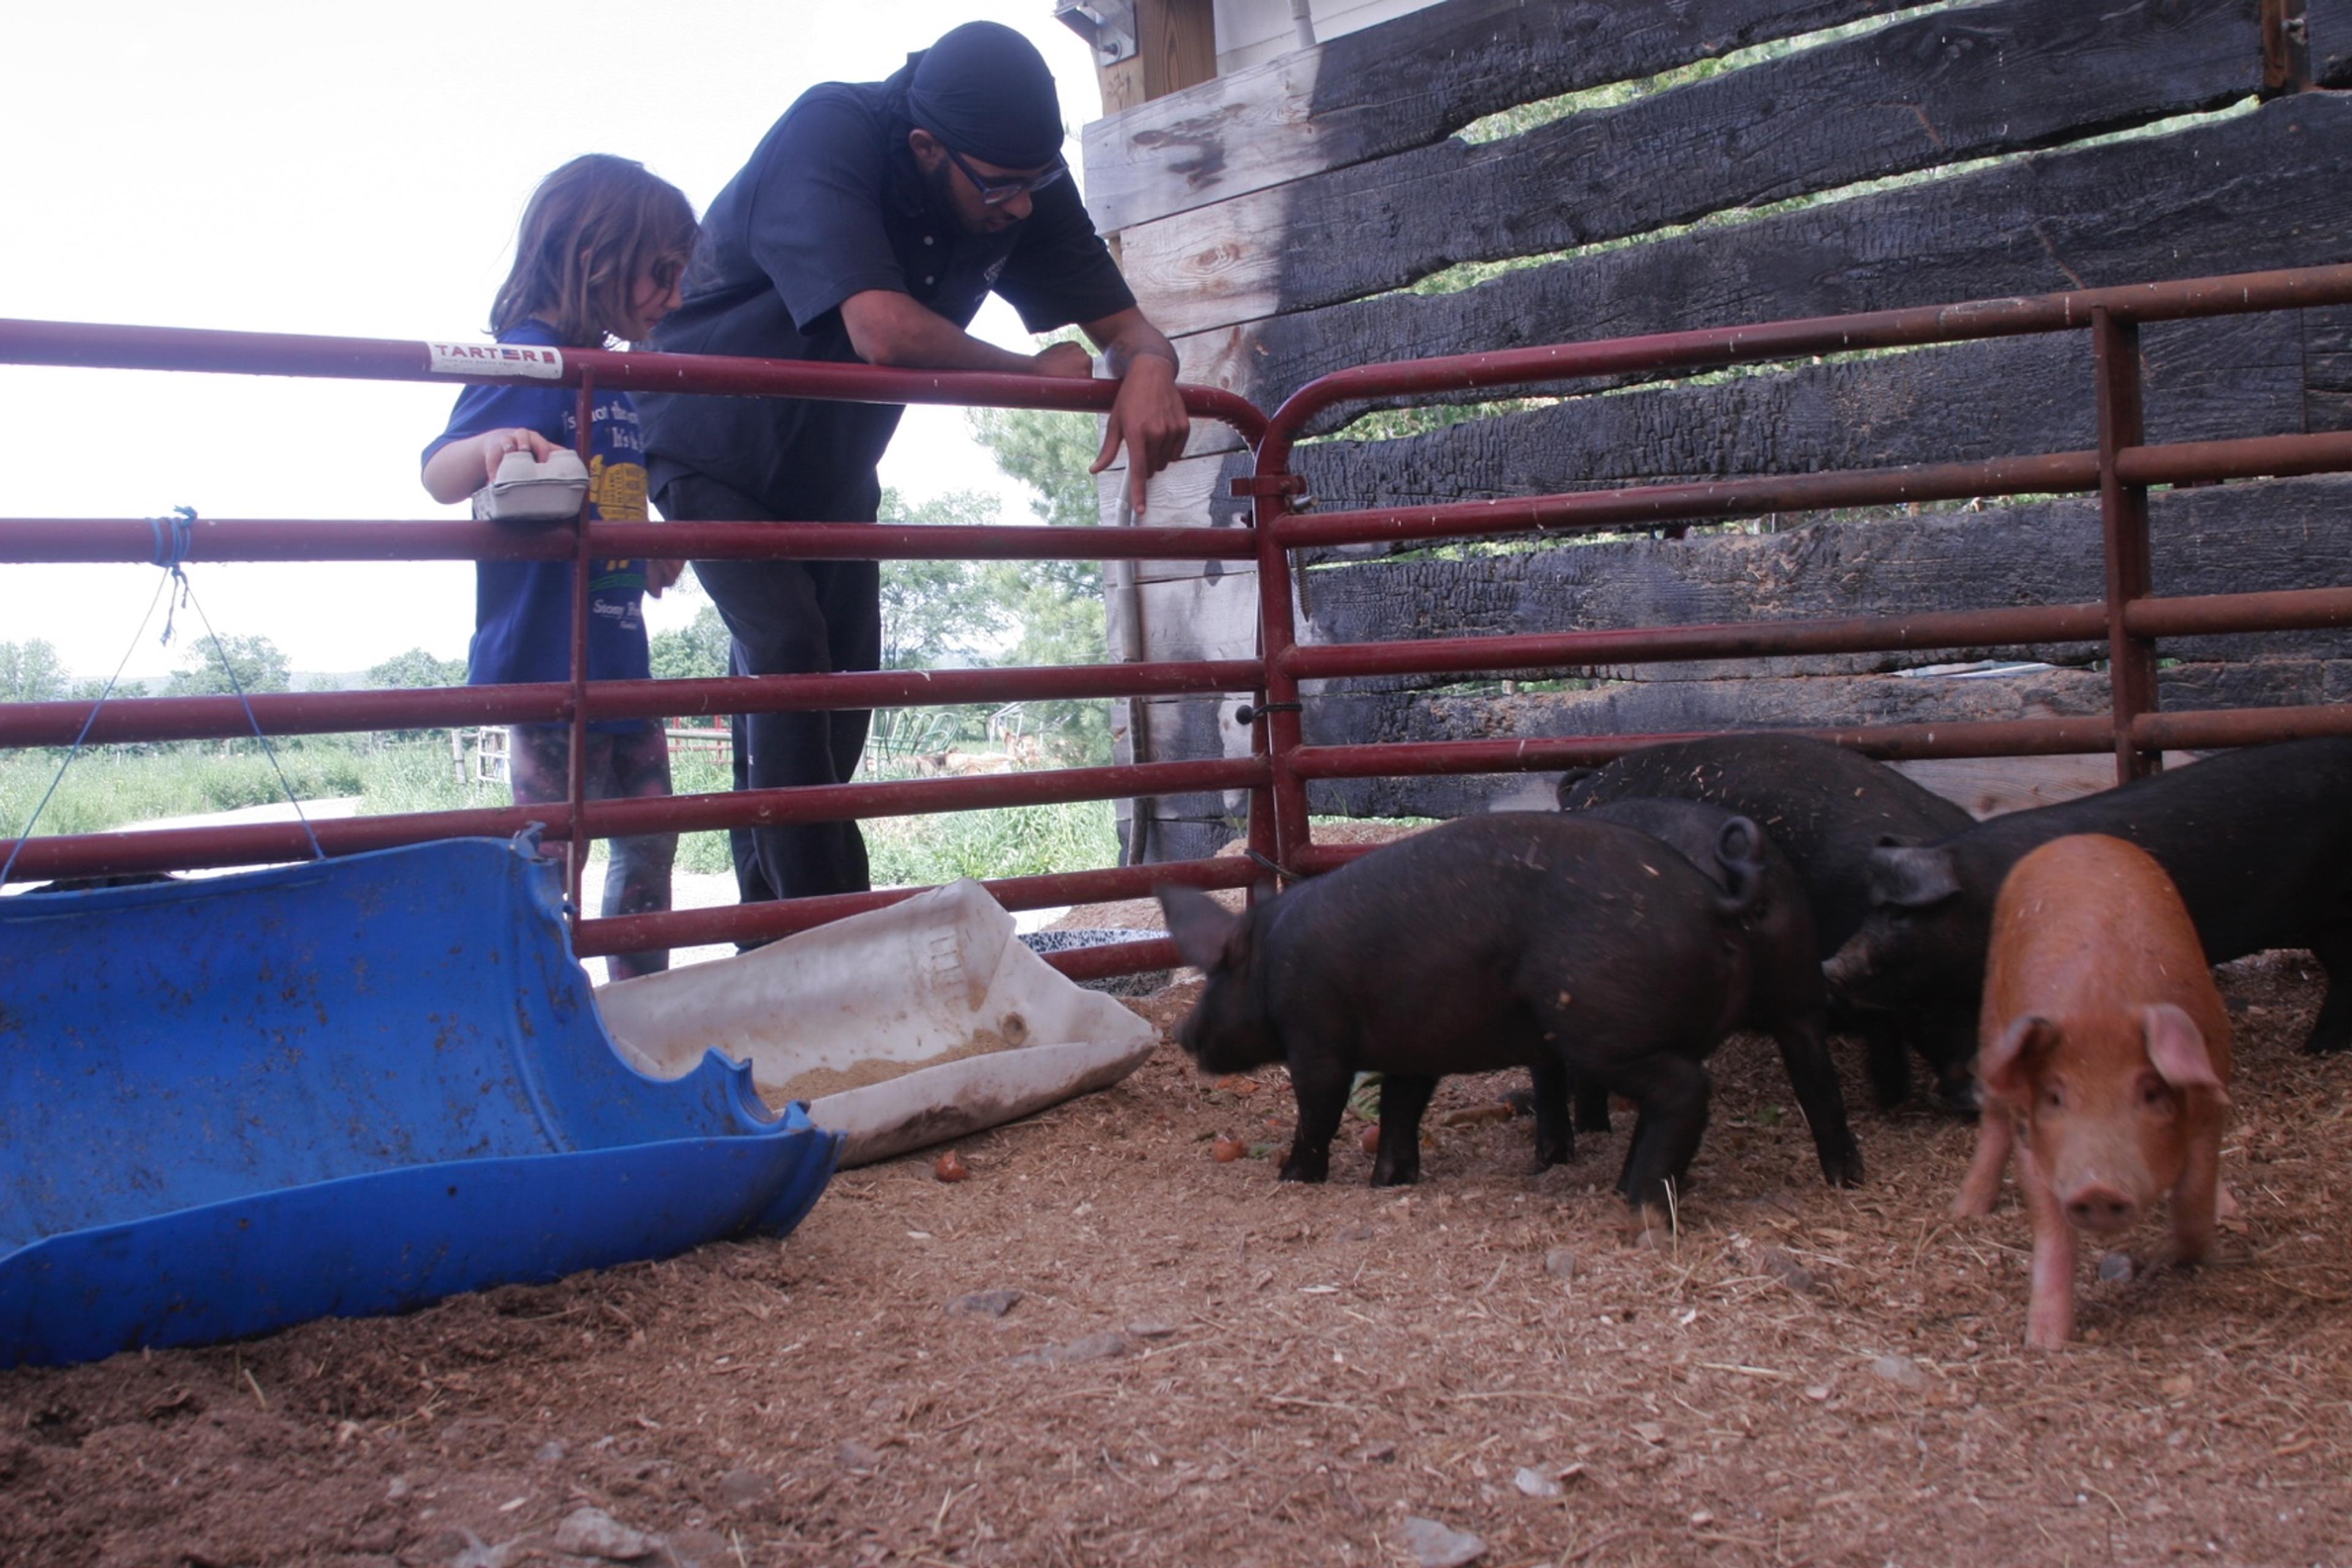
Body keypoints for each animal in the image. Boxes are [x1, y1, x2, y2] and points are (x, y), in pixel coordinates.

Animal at [1152, 818, 1768, 1222]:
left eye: (1217, 972)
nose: (1181, 1032)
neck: (1269, 963)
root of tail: (1714, 902)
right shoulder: (1411, 1050)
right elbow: (1400, 1111)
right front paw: (1389, 1182)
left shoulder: (1317, 1039)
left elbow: (1320, 1111)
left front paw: (1293, 1177)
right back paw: (1624, 1189)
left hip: (1605, 1030)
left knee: (1684, 1089)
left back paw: (1641, 1207)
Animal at [1834, 738, 2352, 1053]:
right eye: (1873, 909)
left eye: (1900, 917)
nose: (1833, 964)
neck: (1982, 899)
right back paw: (2319, 1047)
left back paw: (2317, 1048)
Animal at [1956, 832, 2230, 1354]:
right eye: (2055, 1097)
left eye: (2151, 1092)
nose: (2098, 1189)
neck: (2098, 1004)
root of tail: (2076, 839)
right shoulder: (2032, 1135)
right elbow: (2052, 1230)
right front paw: (2044, 1343)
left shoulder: (2208, 1109)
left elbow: (2192, 1193)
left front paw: (2192, 1258)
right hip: (1990, 1015)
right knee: (1992, 1118)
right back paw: (1964, 1212)